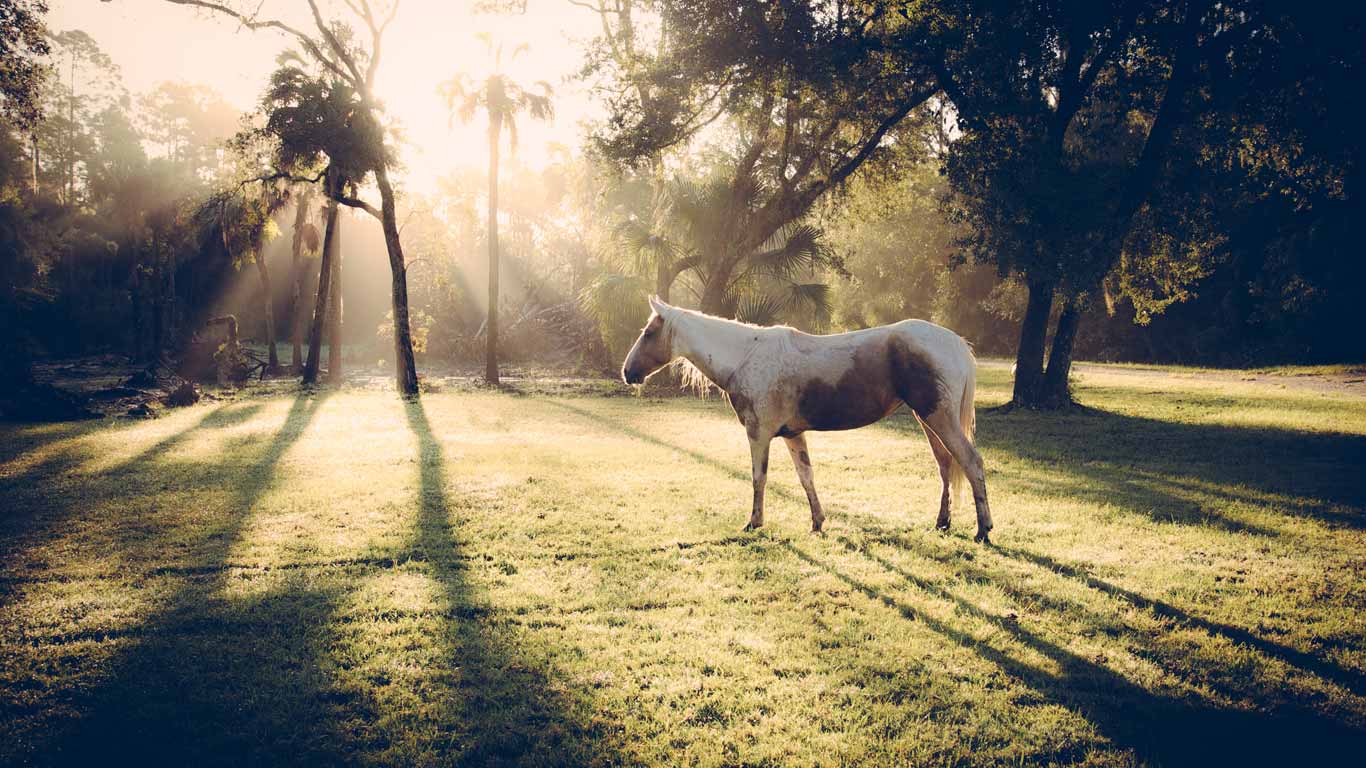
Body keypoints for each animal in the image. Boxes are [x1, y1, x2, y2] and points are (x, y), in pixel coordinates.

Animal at [621, 296, 993, 542]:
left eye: (649, 332)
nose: (628, 372)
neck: (745, 355)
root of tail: (954, 342)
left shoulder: (759, 434)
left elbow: (759, 478)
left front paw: (754, 522)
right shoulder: (792, 434)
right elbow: (806, 478)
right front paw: (817, 522)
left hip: (939, 418)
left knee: (971, 462)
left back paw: (983, 529)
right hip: (929, 420)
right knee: (946, 466)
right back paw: (942, 523)